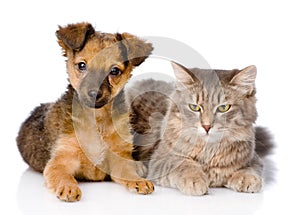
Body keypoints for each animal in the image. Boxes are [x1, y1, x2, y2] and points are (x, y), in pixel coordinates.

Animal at [15, 22, 155, 202]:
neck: (97, 119)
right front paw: (68, 187)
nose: (94, 93)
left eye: (114, 71)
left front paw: (138, 180)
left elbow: (127, 172)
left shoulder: (119, 161)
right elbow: (62, 175)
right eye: (82, 65)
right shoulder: (60, 160)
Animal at [125, 61, 274, 195]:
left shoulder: (254, 158)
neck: (209, 152)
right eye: (194, 107)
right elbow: (184, 164)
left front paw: (247, 179)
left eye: (223, 108)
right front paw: (195, 180)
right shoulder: (160, 159)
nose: (206, 126)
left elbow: (250, 169)